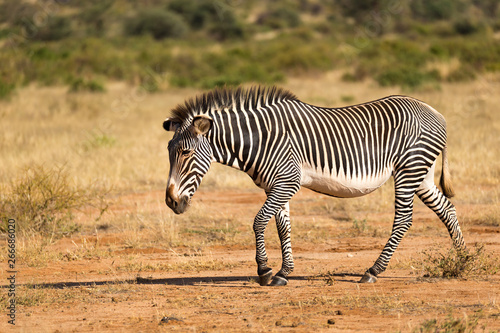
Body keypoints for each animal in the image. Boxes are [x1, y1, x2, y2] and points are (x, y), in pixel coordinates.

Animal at [164, 85, 464, 286]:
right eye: (169, 151)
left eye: (186, 153)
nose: (171, 201)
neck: (260, 138)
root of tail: (435, 111)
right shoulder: (277, 185)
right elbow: (282, 227)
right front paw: (284, 273)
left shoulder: (288, 181)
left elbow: (259, 221)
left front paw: (264, 271)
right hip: (421, 174)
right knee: (447, 209)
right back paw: (462, 259)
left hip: (409, 169)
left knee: (403, 219)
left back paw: (373, 271)